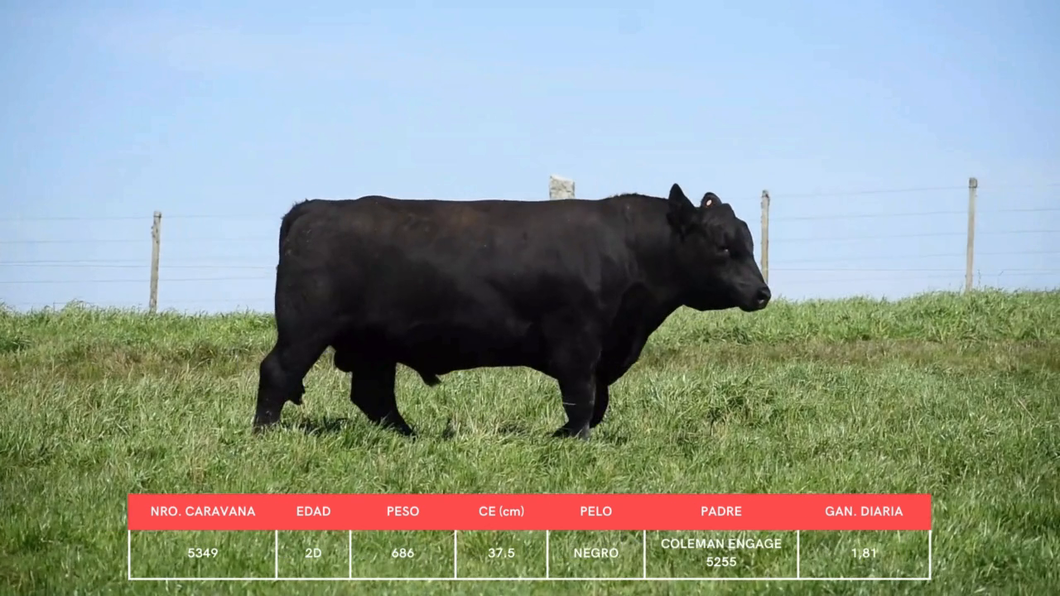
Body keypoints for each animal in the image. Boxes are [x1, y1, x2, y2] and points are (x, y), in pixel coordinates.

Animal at [254, 183, 771, 439]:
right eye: (723, 247)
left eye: (747, 242)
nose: (763, 292)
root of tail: (311, 208)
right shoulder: (577, 342)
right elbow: (583, 397)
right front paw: (574, 439)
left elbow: (598, 400)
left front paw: (563, 435)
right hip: (306, 327)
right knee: (278, 371)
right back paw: (266, 434)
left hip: (374, 343)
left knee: (373, 395)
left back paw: (409, 436)